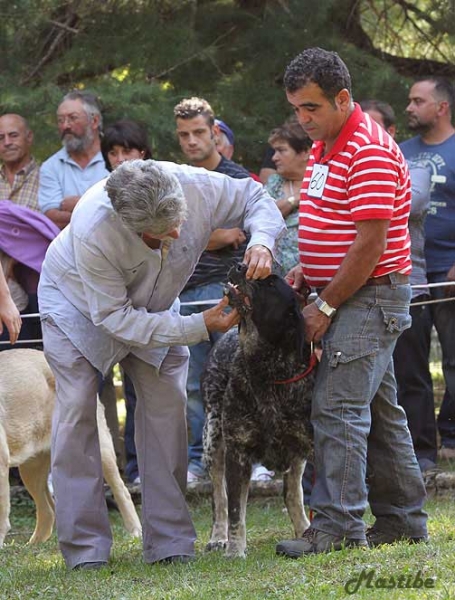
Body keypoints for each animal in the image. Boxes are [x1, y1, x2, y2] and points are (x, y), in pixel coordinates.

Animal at [0, 346, 142, 548]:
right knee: (48, 509)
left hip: (101, 450)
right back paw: (34, 545)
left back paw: (134, 531)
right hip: (31, 469)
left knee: (121, 490)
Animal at [203, 264, 318, 556]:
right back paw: (218, 537)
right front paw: (235, 550)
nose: (241, 264)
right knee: (218, 498)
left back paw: (303, 528)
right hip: (212, 438)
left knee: (292, 494)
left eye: (271, 283)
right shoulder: (237, 452)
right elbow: (235, 510)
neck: (267, 370)